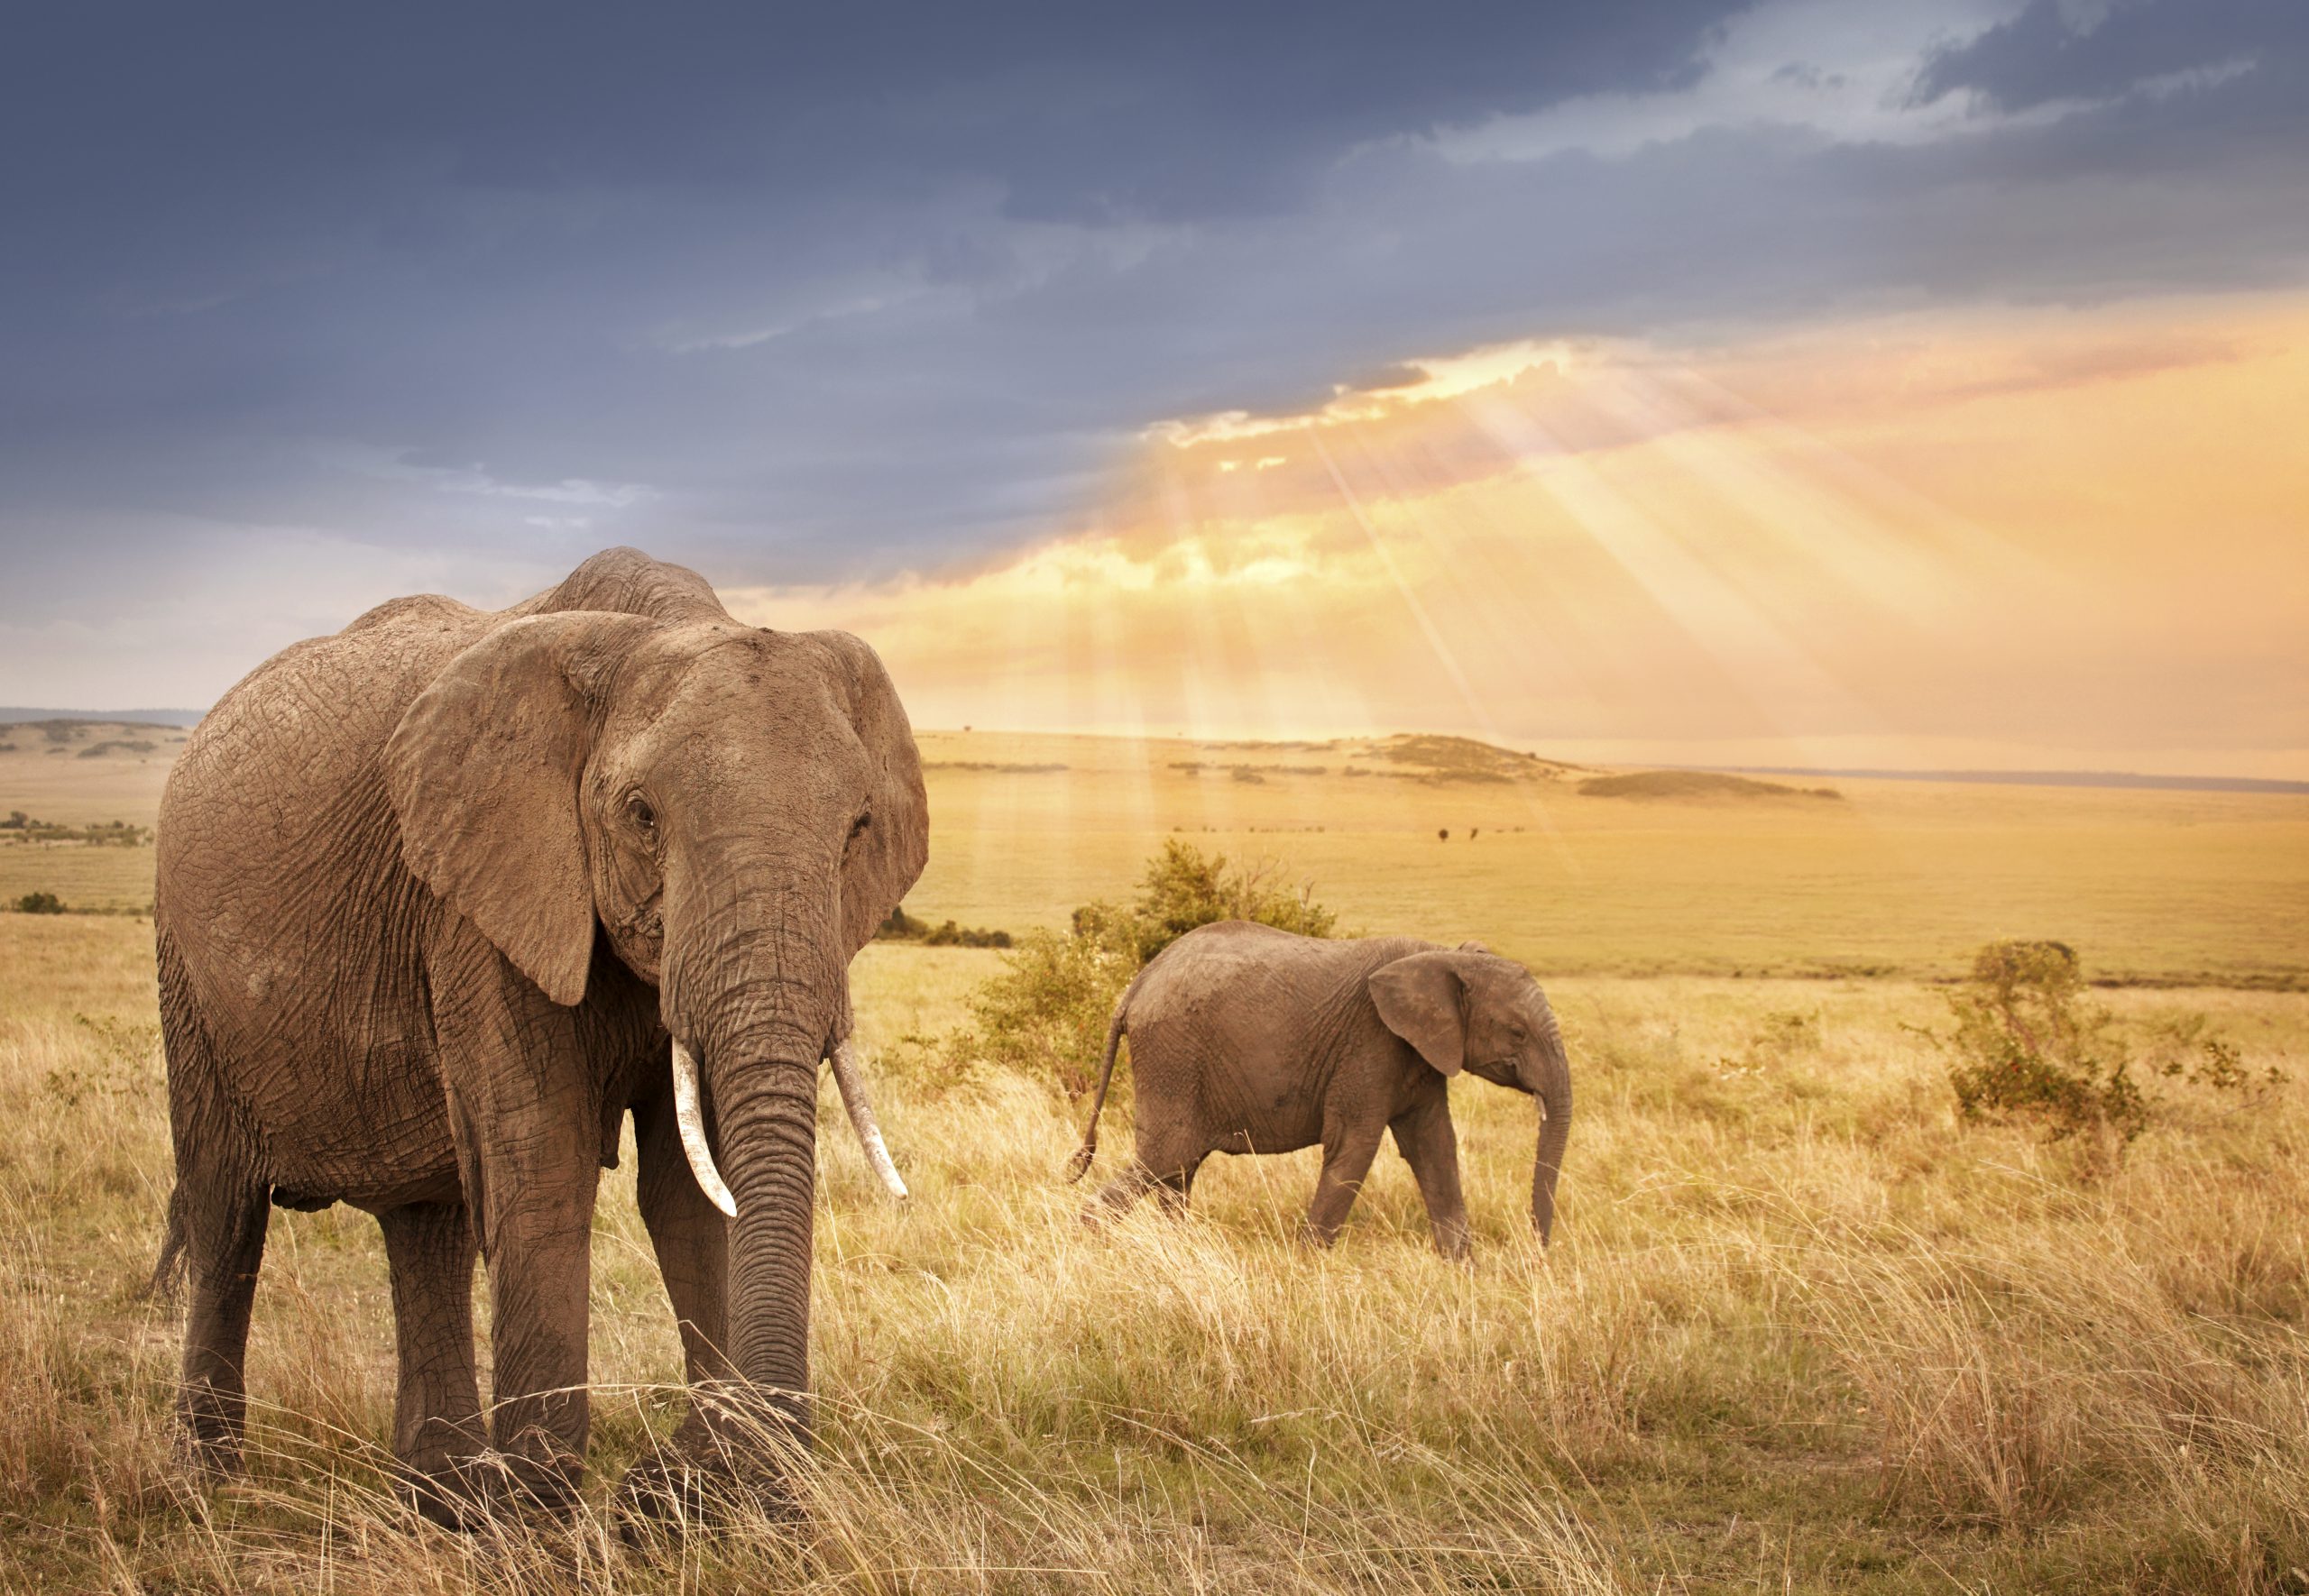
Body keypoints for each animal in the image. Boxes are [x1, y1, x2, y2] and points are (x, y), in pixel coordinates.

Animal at [149, 549, 928, 1524]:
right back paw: (208, 1488)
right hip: (185, 970)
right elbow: (543, 1159)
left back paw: (440, 1499)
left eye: (858, 828)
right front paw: (546, 1513)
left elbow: (691, 1190)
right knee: (225, 1211)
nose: (684, 1479)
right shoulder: (478, 895)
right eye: (641, 815)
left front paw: (690, 1499)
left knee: (426, 1221)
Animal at [1062, 923, 1569, 1265]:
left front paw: (1464, 1270)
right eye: (1518, 1032)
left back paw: (1182, 1249)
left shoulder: (1419, 1054)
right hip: (1172, 1057)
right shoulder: (1370, 1043)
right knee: (1165, 1158)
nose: (1536, 1257)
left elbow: (1435, 1146)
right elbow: (1355, 1145)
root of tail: (1135, 988)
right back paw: (1089, 1237)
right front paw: (1307, 1265)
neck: (1442, 956)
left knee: (1176, 1168)